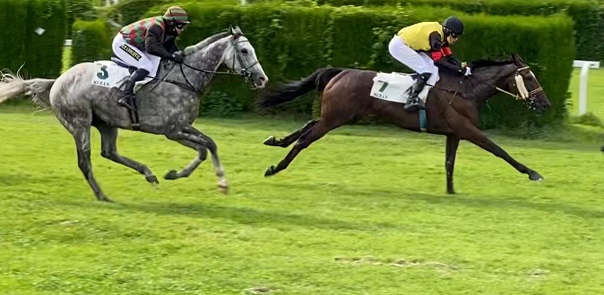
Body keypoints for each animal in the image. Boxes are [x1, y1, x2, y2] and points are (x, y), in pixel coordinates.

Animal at [0, 26, 268, 204]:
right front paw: (222, 183)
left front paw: (174, 174)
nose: (262, 79)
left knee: (109, 152)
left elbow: (204, 149)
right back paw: (102, 195)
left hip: (107, 123)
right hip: (79, 124)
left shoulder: (178, 130)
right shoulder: (173, 130)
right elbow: (210, 144)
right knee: (85, 161)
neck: (185, 79)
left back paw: (149, 174)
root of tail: (58, 80)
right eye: (245, 51)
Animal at [258, 52, 548, 194]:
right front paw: (533, 172)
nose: (545, 104)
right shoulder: (467, 129)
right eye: (529, 78)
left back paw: (276, 141)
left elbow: (449, 162)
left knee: (308, 125)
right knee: (305, 139)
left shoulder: (454, 132)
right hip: (335, 118)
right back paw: (274, 168)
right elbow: (499, 150)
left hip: (339, 116)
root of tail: (340, 72)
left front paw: (450, 190)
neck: (466, 88)